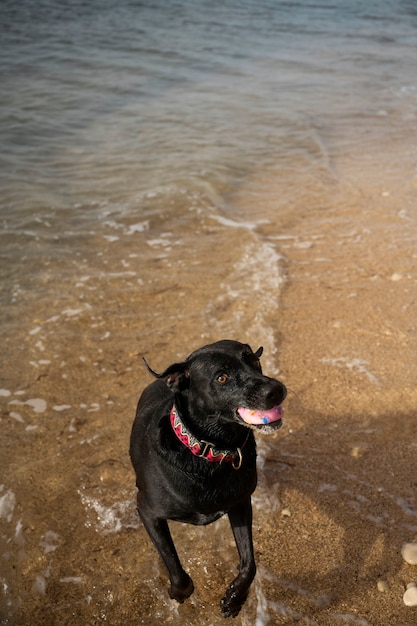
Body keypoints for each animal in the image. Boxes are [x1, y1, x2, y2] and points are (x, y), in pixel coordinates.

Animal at [130, 336, 286, 616]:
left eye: (253, 360)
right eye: (221, 378)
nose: (276, 390)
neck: (210, 452)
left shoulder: (240, 503)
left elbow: (250, 564)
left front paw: (235, 598)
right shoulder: (147, 512)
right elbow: (175, 567)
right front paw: (178, 593)